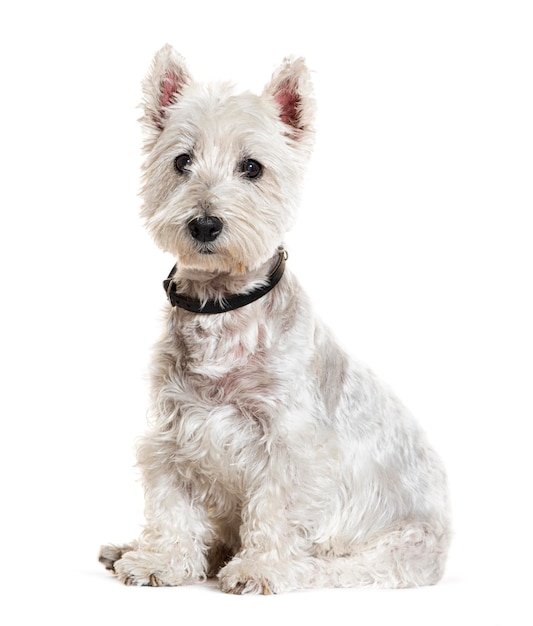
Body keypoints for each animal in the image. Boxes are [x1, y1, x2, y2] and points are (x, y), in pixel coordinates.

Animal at [98, 46, 448, 592]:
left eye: (252, 167)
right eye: (182, 161)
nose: (204, 224)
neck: (222, 307)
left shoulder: (289, 442)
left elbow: (274, 508)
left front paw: (258, 569)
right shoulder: (172, 433)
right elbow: (173, 503)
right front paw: (160, 560)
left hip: (392, 550)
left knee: (340, 567)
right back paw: (128, 549)